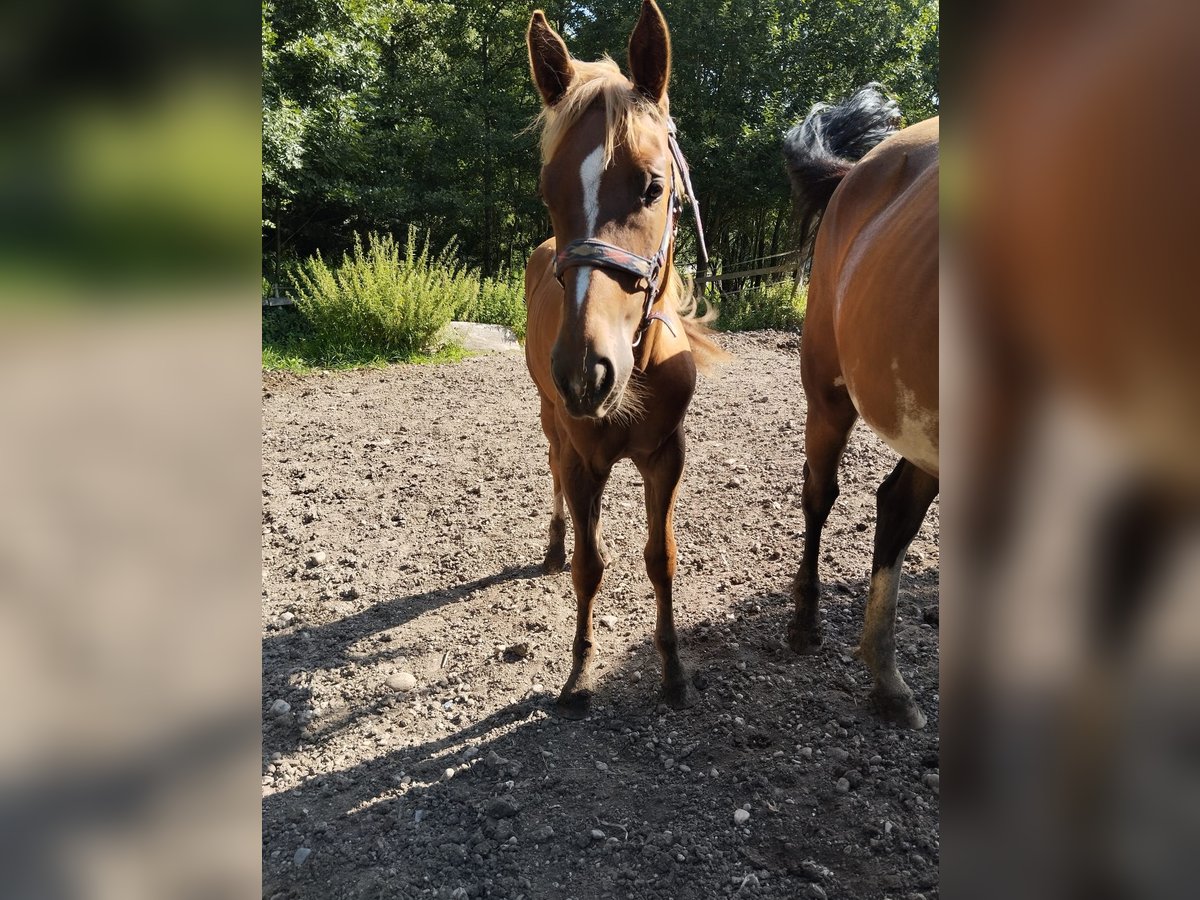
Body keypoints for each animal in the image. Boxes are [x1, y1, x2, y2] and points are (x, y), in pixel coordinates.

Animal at [523, 1, 726, 719]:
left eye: (652, 186)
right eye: (549, 190)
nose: (587, 373)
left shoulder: (666, 453)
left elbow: (660, 557)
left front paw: (673, 670)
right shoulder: (584, 452)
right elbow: (589, 568)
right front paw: (579, 675)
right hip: (551, 419)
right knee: (556, 475)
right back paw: (557, 541)